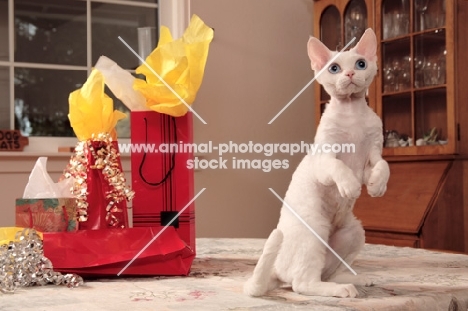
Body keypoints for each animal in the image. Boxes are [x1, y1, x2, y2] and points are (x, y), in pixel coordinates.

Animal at [245, 29, 392, 300]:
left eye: (361, 64)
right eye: (334, 68)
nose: (350, 73)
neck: (353, 115)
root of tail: (277, 271)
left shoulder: (372, 156)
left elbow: (383, 166)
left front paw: (377, 186)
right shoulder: (324, 159)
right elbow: (339, 168)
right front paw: (349, 186)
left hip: (353, 231)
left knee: (324, 274)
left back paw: (356, 280)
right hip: (314, 230)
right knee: (302, 284)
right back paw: (342, 289)